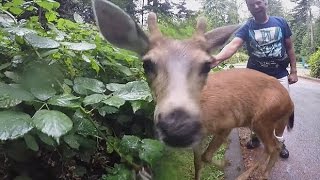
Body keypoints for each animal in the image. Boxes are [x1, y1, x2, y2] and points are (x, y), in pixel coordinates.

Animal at [91, 0, 294, 180]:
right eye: (147, 64)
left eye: (207, 65)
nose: (179, 128)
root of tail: (290, 102)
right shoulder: (199, 139)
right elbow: (198, 163)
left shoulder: (227, 123)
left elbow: (206, 156)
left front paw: (227, 164)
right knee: (274, 145)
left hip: (263, 119)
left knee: (272, 147)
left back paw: (253, 174)